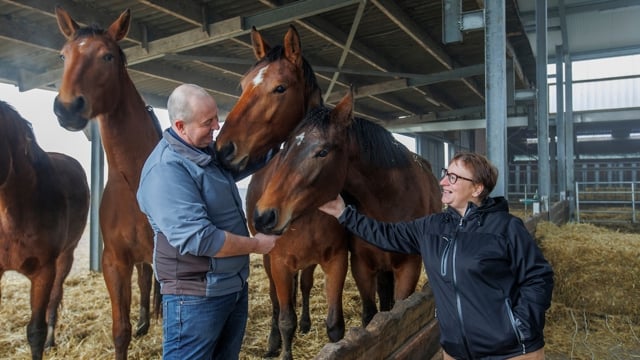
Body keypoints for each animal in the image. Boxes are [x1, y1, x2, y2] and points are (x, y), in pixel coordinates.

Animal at [52, 7, 162, 358]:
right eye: (63, 55)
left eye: (108, 56)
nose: (67, 108)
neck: (134, 182)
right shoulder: (114, 262)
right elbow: (120, 331)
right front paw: (135, 327)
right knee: (145, 280)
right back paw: (144, 322)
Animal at [218, 26, 350, 360]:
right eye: (242, 85)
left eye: (280, 88)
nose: (222, 149)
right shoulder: (278, 262)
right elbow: (284, 316)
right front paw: (282, 343)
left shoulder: (337, 259)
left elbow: (334, 325)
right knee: (277, 301)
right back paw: (273, 341)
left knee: (303, 286)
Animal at [252, 89, 442, 324]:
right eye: (285, 148)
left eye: (323, 152)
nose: (263, 216)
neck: (389, 202)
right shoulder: (361, 265)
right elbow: (370, 313)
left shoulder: (409, 267)